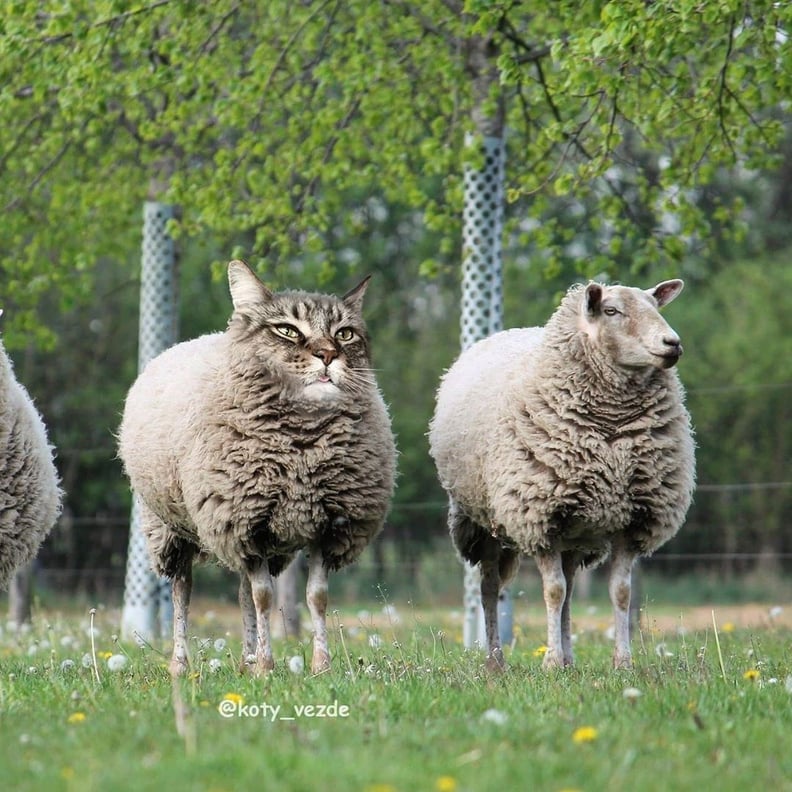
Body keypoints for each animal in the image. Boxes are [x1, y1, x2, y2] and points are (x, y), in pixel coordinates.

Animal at [117, 260, 396, 676]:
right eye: (287, 330)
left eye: (345, 333)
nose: (328, 355)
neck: (302, 447)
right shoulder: (244, 523)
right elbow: (264, 596)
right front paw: (267, 666)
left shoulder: (326, 526)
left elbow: (315, 597)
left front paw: (320, 665)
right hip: (169, 528)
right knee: (183, 590)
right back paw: (182, 664)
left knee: (241, 591)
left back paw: (245, 659)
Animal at [430, 282, 696, 672]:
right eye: (612, 311)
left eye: (654, 305)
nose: (672, 343)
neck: (609, 433)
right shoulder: (541, 518)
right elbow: (552, 591)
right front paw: (551, 661)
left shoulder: (632, 521)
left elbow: (621, 592)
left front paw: (622, 662)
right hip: (484, 524)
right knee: (491, 588)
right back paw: (496, 661)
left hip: (578, 530)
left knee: (571, 587)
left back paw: (570, 659)